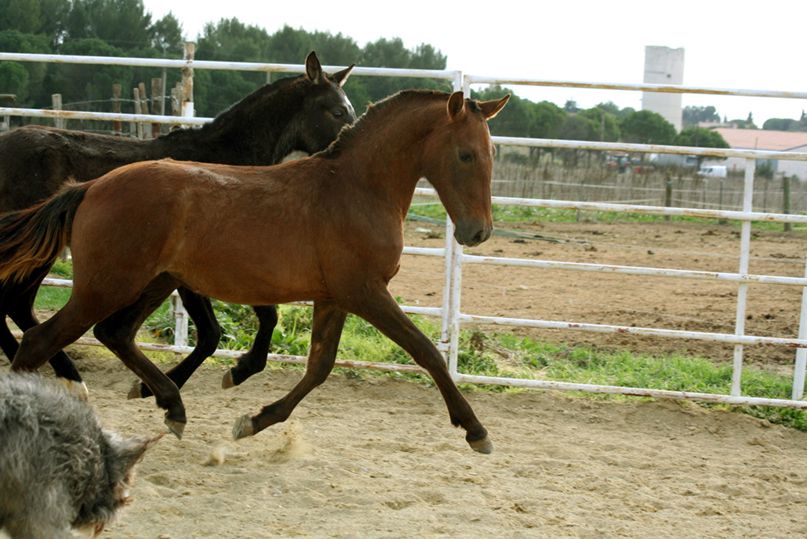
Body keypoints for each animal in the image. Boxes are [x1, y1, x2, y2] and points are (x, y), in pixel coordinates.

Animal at [0, 51, 356, 399]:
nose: (352, 144)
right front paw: (232, 372)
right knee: (16, 304)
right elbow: (231, 327)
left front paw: (153, 386)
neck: (225, 157)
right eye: (338, 111)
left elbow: (217, 332)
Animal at [0, 89, 509, 453]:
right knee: (40, 339)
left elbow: (319, 367)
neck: (354, 189)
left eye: (492, 153)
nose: (477, 232)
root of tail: (89, 187)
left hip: (153, 282)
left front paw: (253, 420)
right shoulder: (366, 292)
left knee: (114, 333)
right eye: (465, 154)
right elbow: (427, 352)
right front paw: (476, 430)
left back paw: (173, 406)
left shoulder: (334, 298)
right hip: (107, 285)